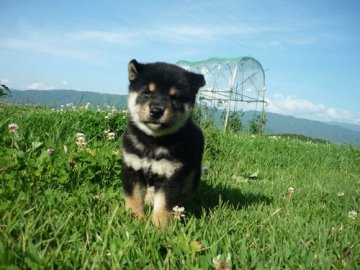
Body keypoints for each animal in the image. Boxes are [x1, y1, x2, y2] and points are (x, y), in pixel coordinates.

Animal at [121, 59, 204, 228]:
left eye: (174, 97)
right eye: (147, 93)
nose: (156, 111)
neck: (153, 141)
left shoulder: (170, 175)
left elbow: (164, 205)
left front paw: (159, 227)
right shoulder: (132, 168)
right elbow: (134, 199)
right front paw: (136, 220)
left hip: (193, 172)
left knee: (189, 191)